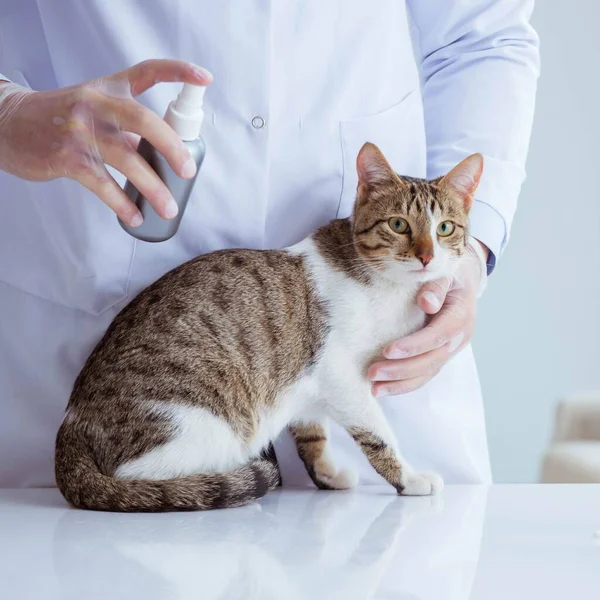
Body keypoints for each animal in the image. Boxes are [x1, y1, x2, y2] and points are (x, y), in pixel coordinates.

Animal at [52, 142, 482, 510]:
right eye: (398, 224)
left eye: (445, 228)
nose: (427, 256)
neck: (388, 287)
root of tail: (71, 425)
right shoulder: (340, 373)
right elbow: (377, 434)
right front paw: (408, 478)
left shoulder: (308, 382)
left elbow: (311, 430)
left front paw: (326, 474)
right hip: (205, 425)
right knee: (144, 477)